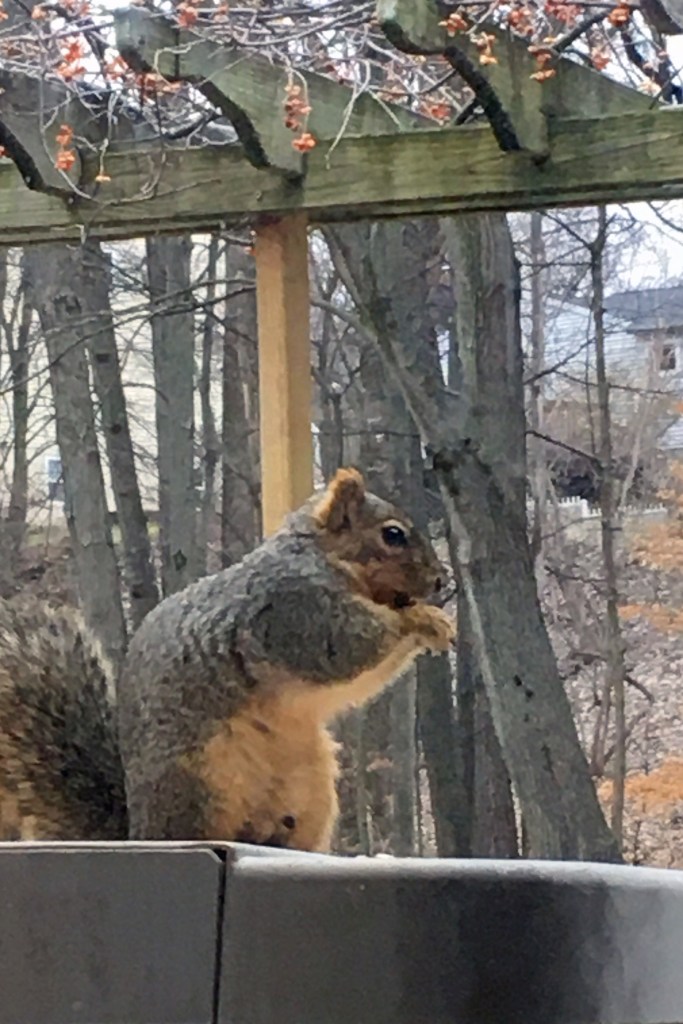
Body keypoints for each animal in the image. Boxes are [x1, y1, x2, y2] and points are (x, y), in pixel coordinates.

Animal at [0, 468, 453, 850]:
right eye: (392, 535)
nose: (440, 580)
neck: (321, 556)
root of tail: (138, 831)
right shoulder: (296, 613)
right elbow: (347, 648)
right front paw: (425, 619)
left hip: (313, 788)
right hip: (204, 781)